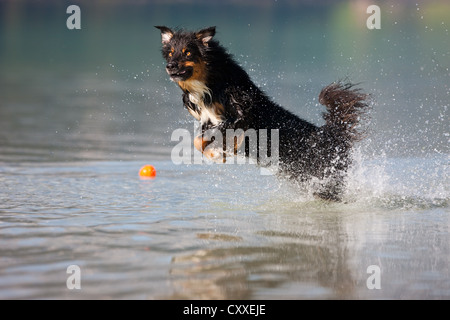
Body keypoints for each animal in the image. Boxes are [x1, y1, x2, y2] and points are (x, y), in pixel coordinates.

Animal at [155, 26, 370, 200]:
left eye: (187, 53)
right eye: (171, 53)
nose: (170, 66)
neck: (211, 86)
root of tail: (333, 133)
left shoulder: (241, 115)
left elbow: (210, 136)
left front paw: (220, 152)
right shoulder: (207, 120)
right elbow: (198, 141)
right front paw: (218, 153)